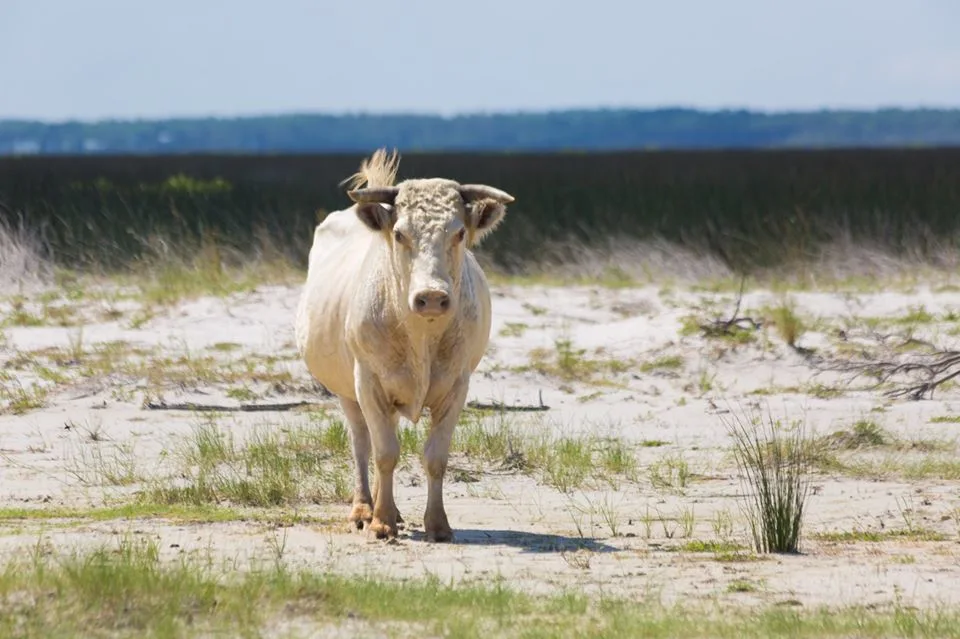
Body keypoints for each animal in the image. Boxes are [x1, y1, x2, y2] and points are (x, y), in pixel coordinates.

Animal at [294, 151, 512, 544]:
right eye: (399, 233)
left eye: (459, 232)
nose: (431, 297)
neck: (420, 337)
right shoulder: (368, 381)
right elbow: (384, 453)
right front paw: (380, 522)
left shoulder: (457, 386)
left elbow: (435, 457)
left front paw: (437, 524)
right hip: (348, 392)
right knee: (362, 443)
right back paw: (365, 509)